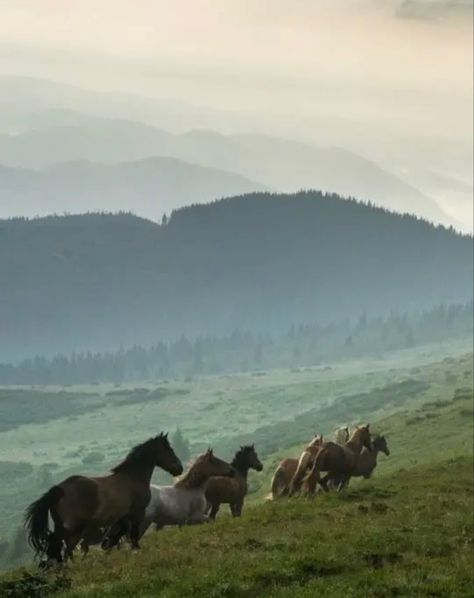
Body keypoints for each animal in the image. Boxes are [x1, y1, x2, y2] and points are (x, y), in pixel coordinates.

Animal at [23, 434, 183, 564]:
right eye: (169, 450)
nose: (179, 468)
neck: (131, 478)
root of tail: (60, 489)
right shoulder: (137, 512)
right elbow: (133, 533)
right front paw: (136, 550)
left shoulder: (124, 516)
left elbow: (121, 534)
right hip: (73, 527)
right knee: (59, 543)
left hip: (64, 526)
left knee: (60, 546)